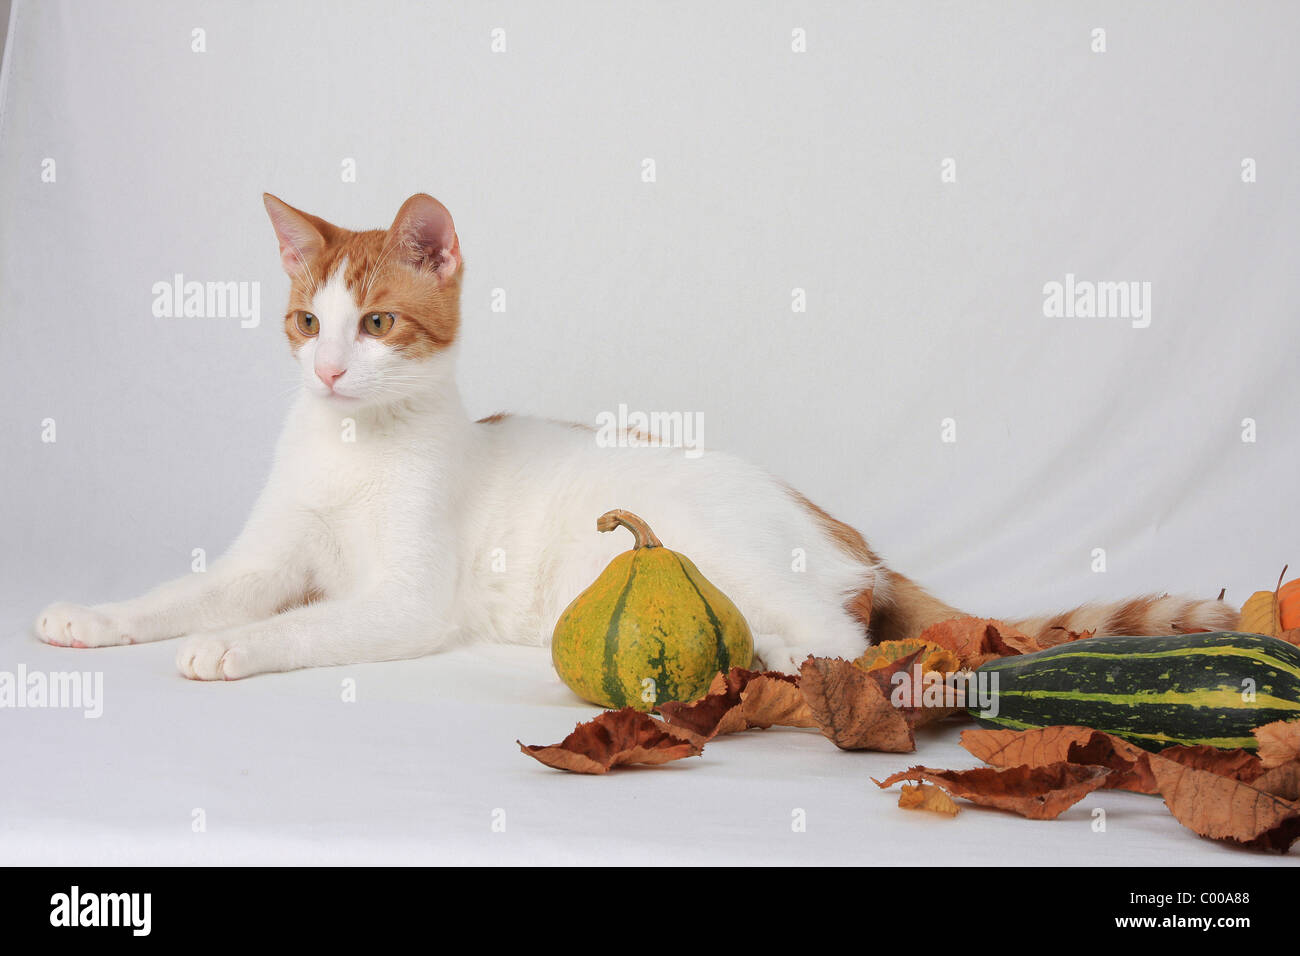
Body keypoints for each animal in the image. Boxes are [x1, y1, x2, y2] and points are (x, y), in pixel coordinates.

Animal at [32, 192, 1237, 681]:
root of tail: (841, 527)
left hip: (732, 553)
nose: (327, 372)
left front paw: (234, 648)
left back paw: (779, 665)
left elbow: (306, 624)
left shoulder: (408, 601)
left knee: (846, 641)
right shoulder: (262, 558)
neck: (353, 447)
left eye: (375, 326)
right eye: (303, 322)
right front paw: (95, 616)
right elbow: (184, 592)